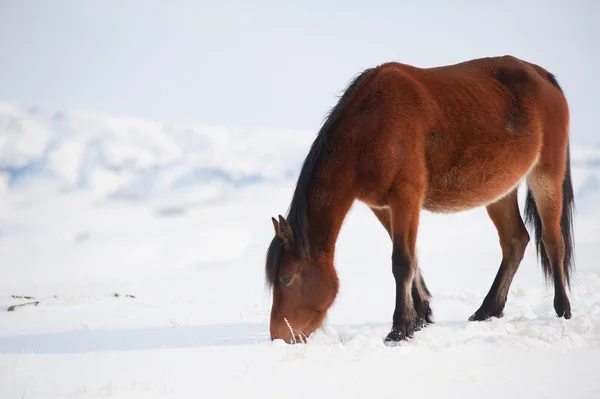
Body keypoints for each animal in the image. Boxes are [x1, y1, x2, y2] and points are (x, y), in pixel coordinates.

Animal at [264, 54, 576, 346]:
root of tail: (543, 77)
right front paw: (421, 316)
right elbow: (412, 257)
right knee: (515, 240)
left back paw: (563, 309)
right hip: (500, 189)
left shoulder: (406, 197)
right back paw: (488, 310)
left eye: (287, 278)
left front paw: (400, 329)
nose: (279, 335)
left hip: (546, 174)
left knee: (552, 241)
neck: (371, 127)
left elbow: (402, 262)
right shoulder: (383, 206)